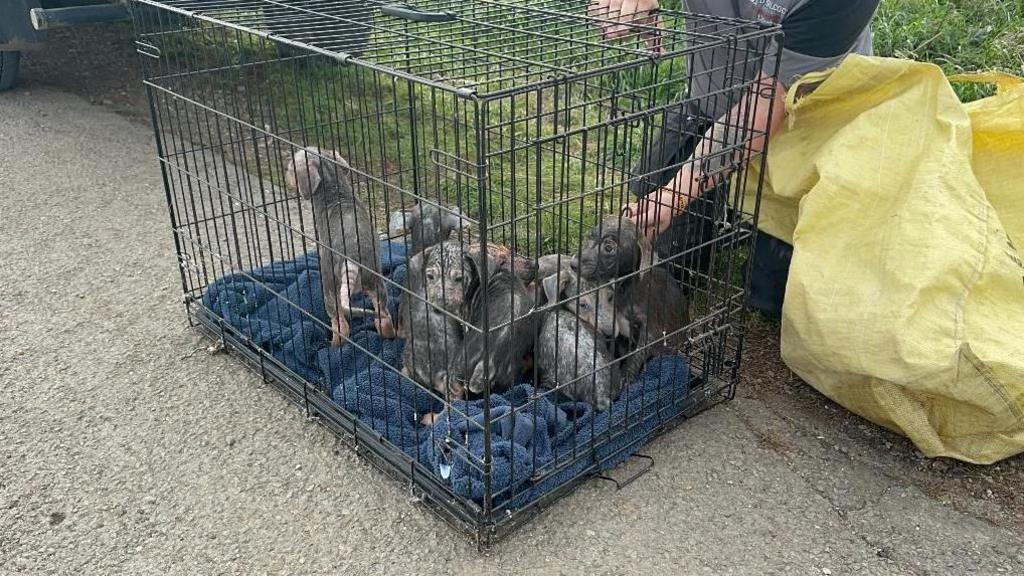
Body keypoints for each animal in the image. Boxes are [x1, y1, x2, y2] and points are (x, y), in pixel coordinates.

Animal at [288, 147, 399, 344]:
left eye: (291, 166)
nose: (286, 174)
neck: (337, 192)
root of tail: (351, 259)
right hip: (375, 282)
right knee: (384, 315)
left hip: (329, 286)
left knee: (339, 323)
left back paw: (334, 344)